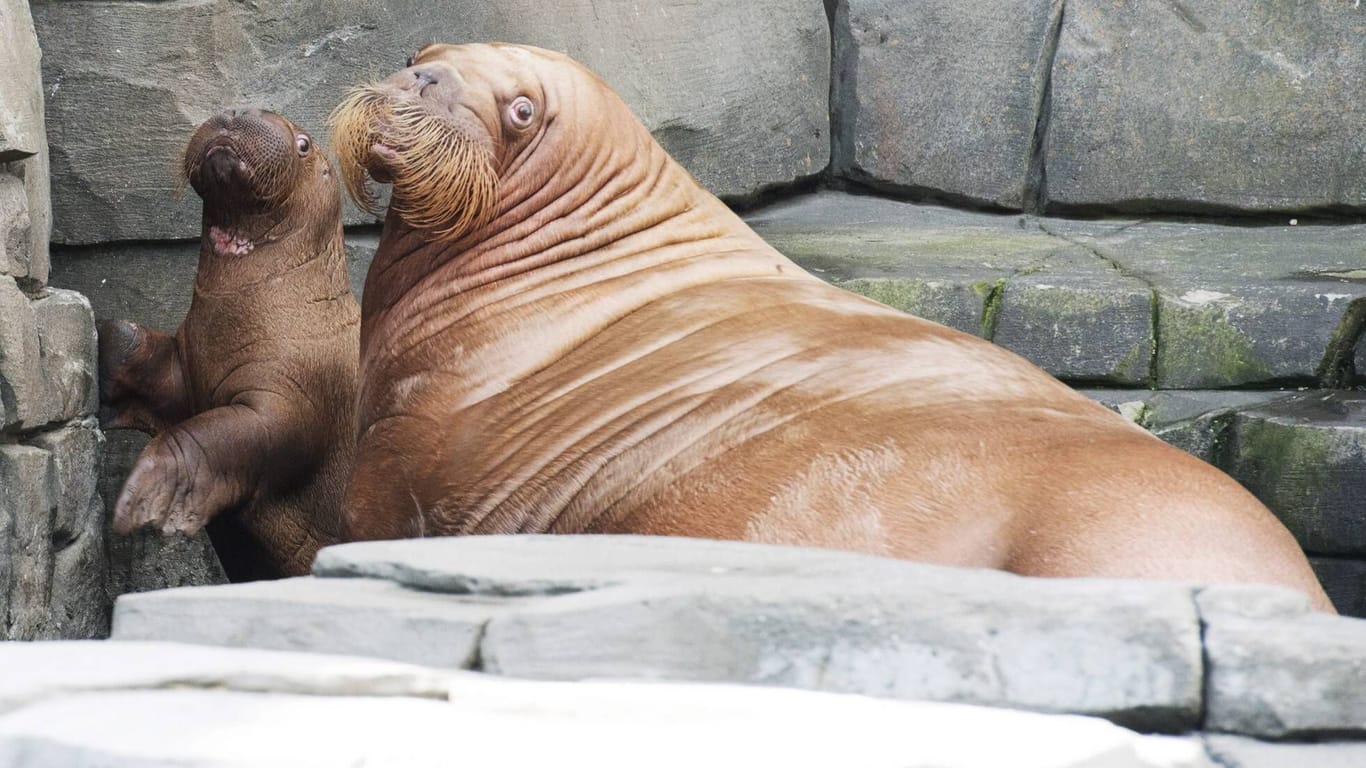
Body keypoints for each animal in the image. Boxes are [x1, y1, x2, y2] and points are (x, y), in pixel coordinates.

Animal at [99, 105, 360, 573]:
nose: (235, 111)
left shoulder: (287, 397)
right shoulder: (190, 367)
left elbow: (211, 436)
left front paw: (146, 495)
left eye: (304, 144)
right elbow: (133, 348)